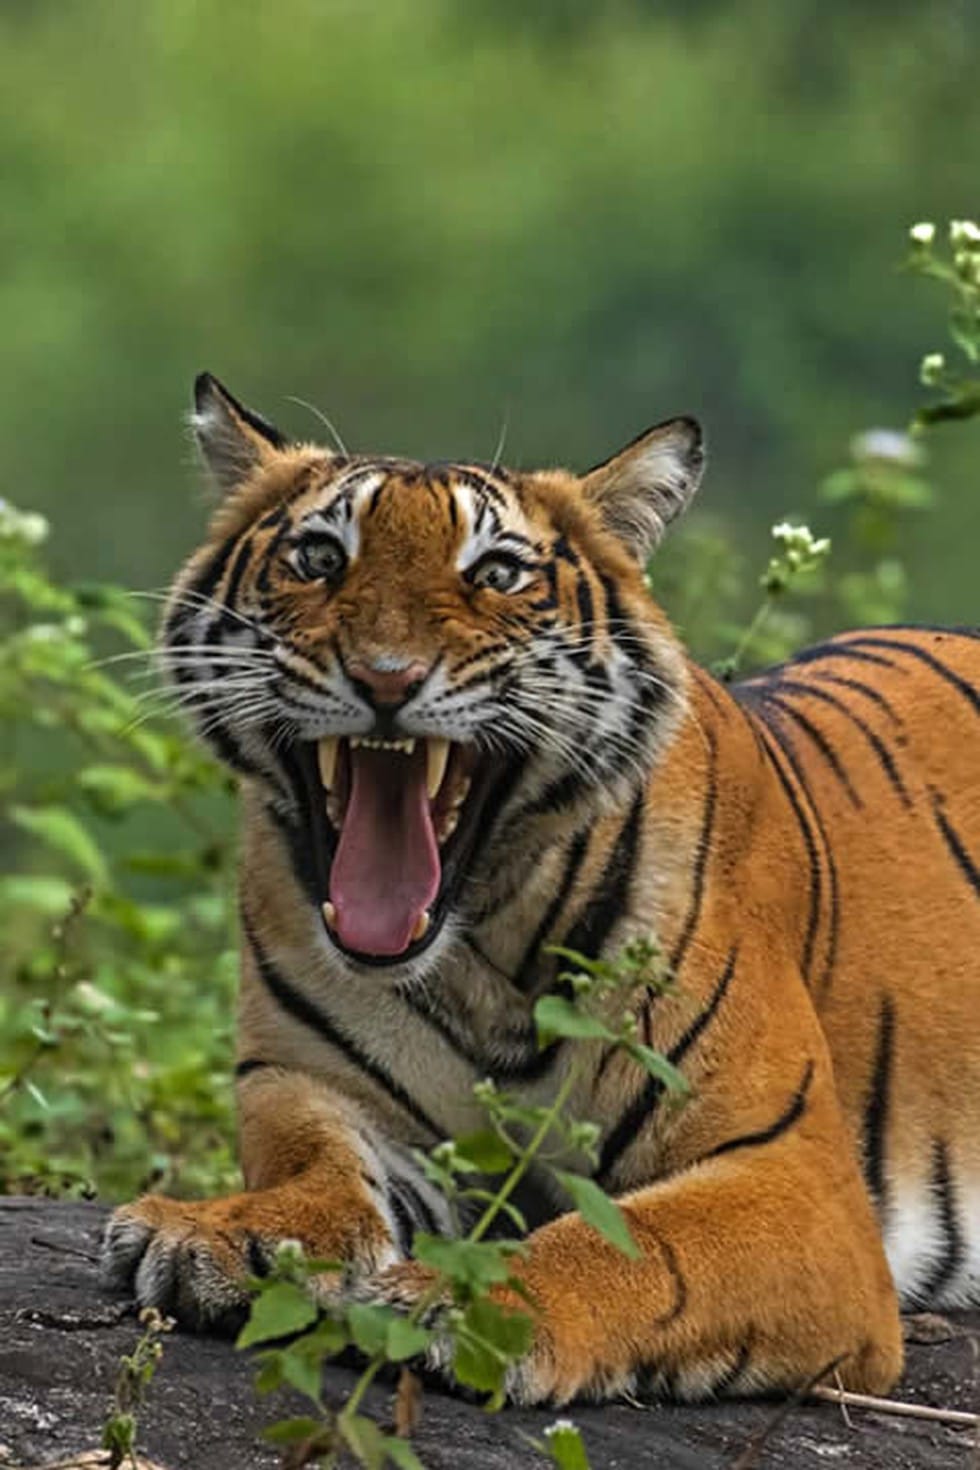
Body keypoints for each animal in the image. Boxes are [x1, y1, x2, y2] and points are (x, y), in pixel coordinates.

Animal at [102, 372, 980, 1407]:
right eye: (318, 557)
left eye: (496, 574)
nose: (386, 678)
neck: (475, 949)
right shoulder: (304, 1080)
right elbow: (315, 1171)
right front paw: (214, 1232)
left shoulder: (795, 1175)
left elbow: (638, 1244)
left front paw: (466, 1305)